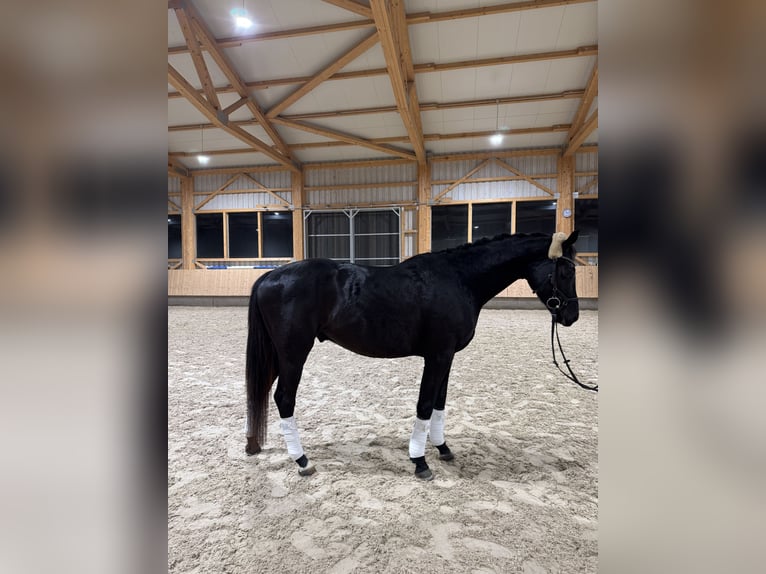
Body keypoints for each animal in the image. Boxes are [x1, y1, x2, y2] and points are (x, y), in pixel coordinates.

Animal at [248, 232, 584, 480]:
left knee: (261, 392)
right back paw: (302, 461)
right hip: (293, 355)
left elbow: (439, 403)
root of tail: (270, 276)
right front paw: (420, 461)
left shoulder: (447, 357)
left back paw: (254, 445)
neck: (459, 279)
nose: (572, 317)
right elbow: (424, 404)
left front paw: (443, 448)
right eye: (567, 270)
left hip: (277, 356)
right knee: (283, 399)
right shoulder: (437, 355)